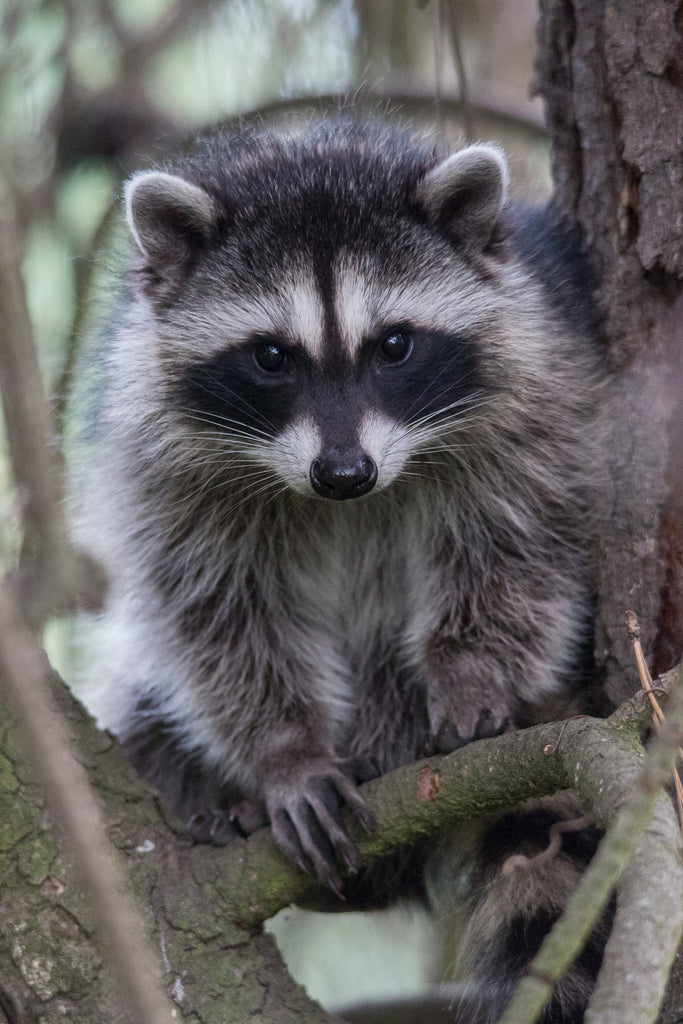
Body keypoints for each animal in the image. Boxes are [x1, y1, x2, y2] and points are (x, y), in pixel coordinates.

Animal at [71, 119, 604, 1021]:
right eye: (270, 357)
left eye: (392, 345)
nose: (344, 474)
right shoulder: (161, 457)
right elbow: (213, 610)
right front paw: (286, 753)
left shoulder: (537, 390)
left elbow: (515, 541)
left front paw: (470, 668)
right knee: (146, 686)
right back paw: (200, 785)